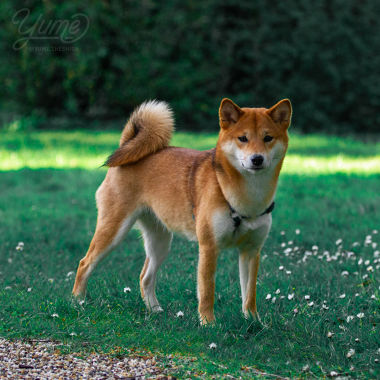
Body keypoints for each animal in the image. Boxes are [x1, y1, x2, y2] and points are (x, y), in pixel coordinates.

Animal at [72, 98, 292, 324]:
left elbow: (249, 294)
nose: (257, 159)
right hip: (114, 231)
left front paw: (254, 321)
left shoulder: (251, 250)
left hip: (160, 241)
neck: (246, 197)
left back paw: (155, 310)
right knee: (84, 263)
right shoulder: (209, 247)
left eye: (268, 138)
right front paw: (208, 324)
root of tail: (126, 147)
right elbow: (207, 291)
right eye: (243, 138)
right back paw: (78, 302)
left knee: (145, 277)